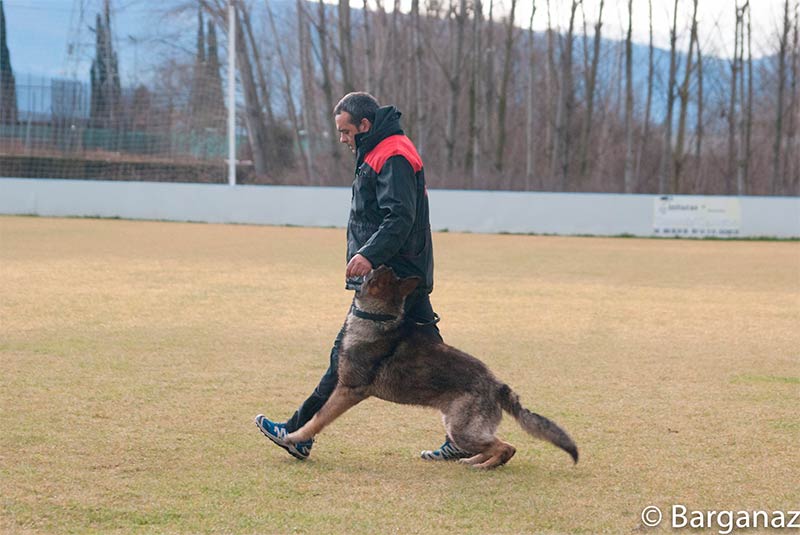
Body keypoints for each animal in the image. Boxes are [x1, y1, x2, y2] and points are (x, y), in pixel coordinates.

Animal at [284, 266, 580, 468]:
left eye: (373, 276)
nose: (378, 263)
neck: (377, 318)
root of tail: (497, 384)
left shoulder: (348, 391)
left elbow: (318, 417)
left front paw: (294, 437)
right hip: (456, 425)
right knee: (497, 446)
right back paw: (473, 461)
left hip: (462, 429)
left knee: (507, 447)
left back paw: (482, 465)